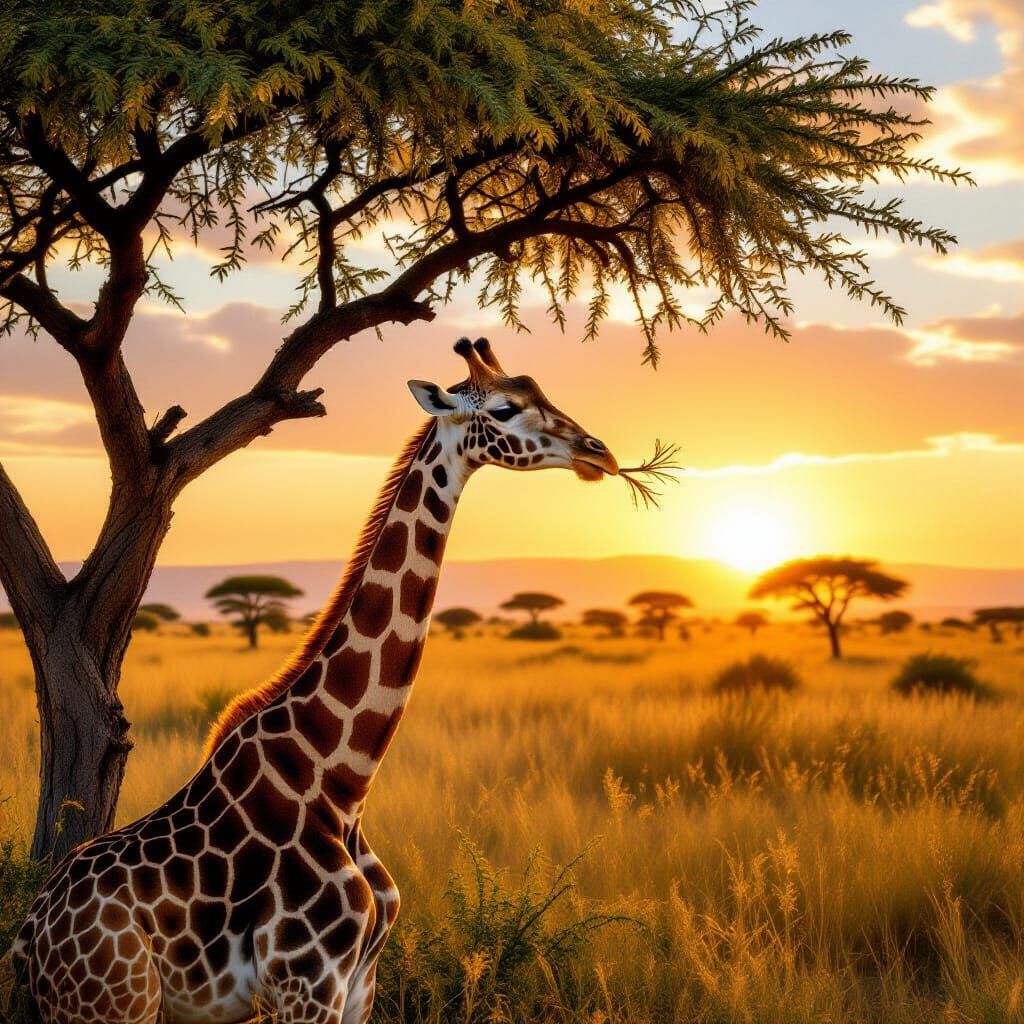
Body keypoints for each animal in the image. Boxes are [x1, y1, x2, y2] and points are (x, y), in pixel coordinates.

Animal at [9, 337, 619, 1024]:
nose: (599, 452)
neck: (343, 780)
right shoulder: (307, 982)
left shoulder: (359, 984)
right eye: (507, 408)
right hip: (115, 1004)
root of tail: (27, 941)